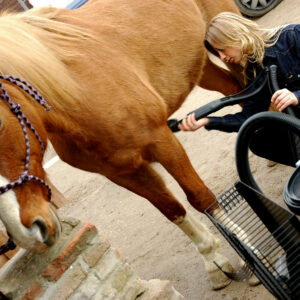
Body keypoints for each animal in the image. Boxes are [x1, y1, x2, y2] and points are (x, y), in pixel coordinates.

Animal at [0, 0, 241, 290]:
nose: (27, 234)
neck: (78, 88)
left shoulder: (162, 142)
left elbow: (201, 197)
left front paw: (245, 252)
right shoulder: (124, 172)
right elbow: (173, 210)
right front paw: (214, 260)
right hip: (201, 65)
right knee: (234, 88)